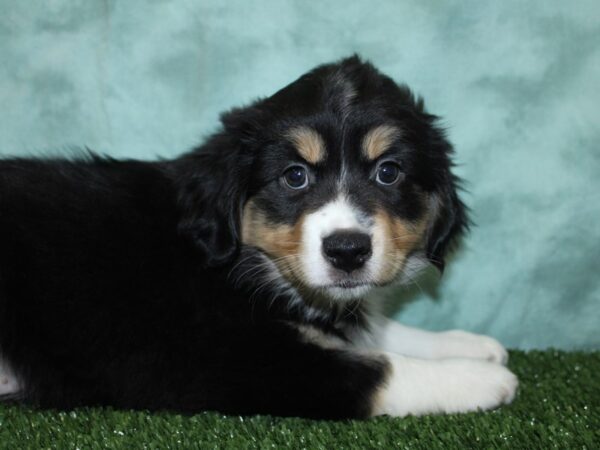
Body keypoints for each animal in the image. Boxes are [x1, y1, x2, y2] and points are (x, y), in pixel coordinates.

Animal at [0, 58, 516, 420]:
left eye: (388, 172)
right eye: (294, 176)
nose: (347, 250)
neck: (242, 266)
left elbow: (377, 331)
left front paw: (469, 345)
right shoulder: (222, 359)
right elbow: (376, 368)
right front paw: (482, 378)